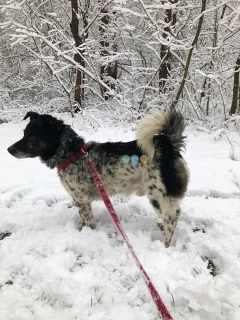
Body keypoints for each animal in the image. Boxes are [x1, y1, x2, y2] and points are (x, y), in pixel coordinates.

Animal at [7, 109, 189, 246]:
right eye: (23, 133)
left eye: (31, 137)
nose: (8, 149)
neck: (71, 154)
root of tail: (168, 144)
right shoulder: (81, 200)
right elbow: (82, 218)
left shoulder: (81, 198)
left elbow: (87, 219)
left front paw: (86, 232)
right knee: (175, 213)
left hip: (158, 195)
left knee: (171, 218)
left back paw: (165, 244)